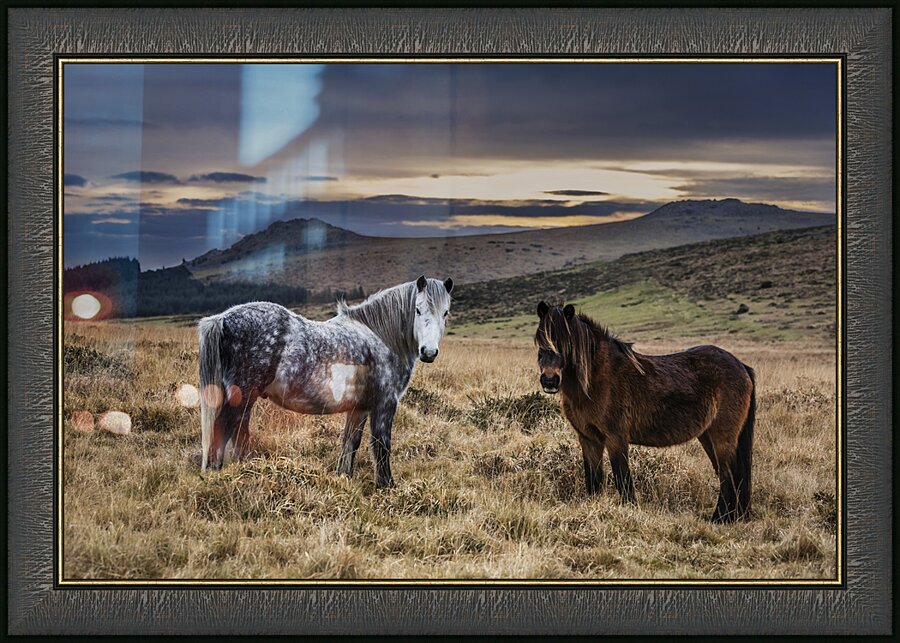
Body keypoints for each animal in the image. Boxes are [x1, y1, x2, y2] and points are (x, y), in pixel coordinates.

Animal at [197, 275, 454, 488]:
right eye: (418, 310)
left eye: (446, 312)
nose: (428, 352)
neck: (380, 337)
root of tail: (223, 319)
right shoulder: (385, 404)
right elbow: (381, 445)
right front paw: (386, 486)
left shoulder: (359, 408)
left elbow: (350, 442)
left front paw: (343, 477)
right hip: (243, 394)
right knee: (223, 428)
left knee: (238, 429)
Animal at [534, 302, 755, 523]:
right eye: (540, 341)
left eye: (565, 343)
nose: (550, 380)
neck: (596, 379)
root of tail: (741, 366)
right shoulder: (588, 439)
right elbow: (593, 480)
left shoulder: (616, 438)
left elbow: (622, 479)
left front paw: (629, 511)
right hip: (707, 436)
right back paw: (733, 517)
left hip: (722, 436)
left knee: (729, 475)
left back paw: (720, 519)